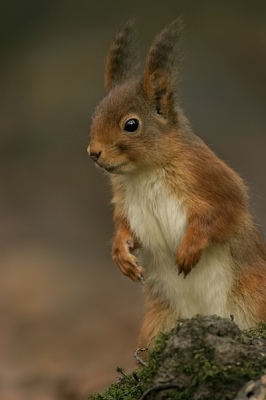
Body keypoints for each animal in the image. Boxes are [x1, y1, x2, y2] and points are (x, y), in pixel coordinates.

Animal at [88, 20, 266, 348]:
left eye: (131, 124)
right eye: (95, 114)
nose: (93, 152)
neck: (143, 172)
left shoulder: (211, 178)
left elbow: (223, 213)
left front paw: (188, 250)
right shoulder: (124, 201)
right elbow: (123, 227)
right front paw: (122, 256)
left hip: (254, 298)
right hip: (157, 324)